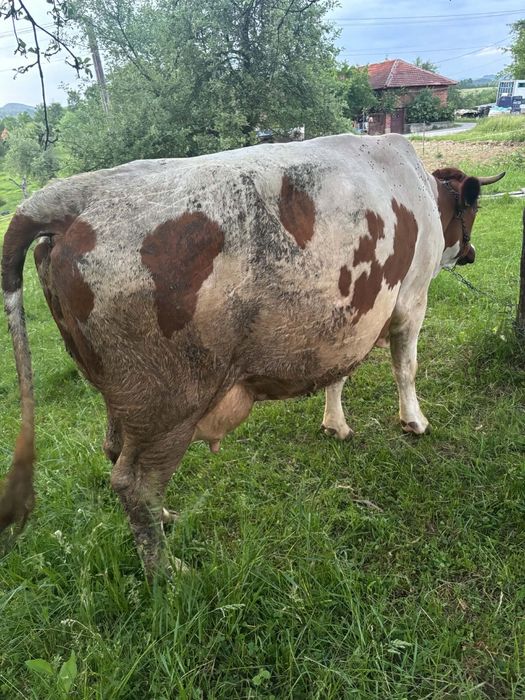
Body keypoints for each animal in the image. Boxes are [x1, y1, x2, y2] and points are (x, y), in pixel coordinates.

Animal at [0, 134, 504, 573]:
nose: (472, 252)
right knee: (134, 483)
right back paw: (167, 570)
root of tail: (76, 195)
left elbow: (338, 374)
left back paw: (165, 520)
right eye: (473, 209)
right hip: (169, 401)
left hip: (124, 393)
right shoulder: (411, 299)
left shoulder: (347, 320)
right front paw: (414, 421)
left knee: (114, 451)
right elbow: (406, 367)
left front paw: (335, 423)